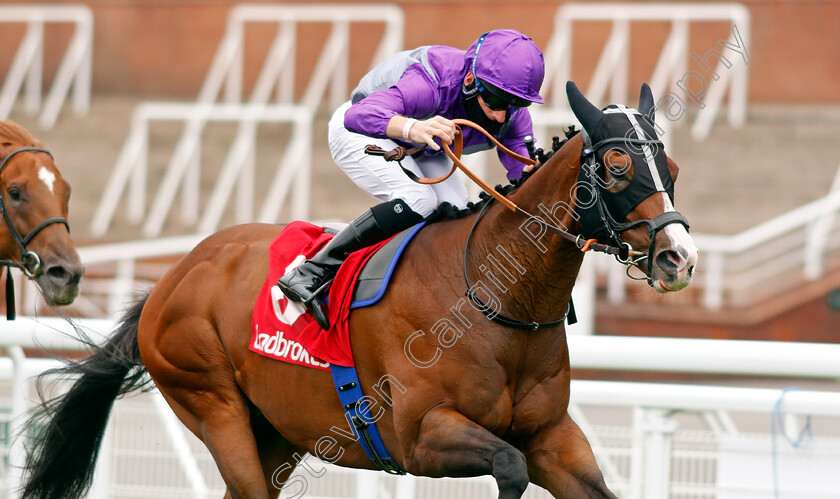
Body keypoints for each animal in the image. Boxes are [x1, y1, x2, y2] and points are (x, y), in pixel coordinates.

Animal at [24, 83, 696, 499]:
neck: (495, 299)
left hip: (278, 433)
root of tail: (174, 275)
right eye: (616, 168)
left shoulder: (554, 436)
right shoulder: (422, 436)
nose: (679, 258)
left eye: (671, 169)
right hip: (211, 402)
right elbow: (509, 466)